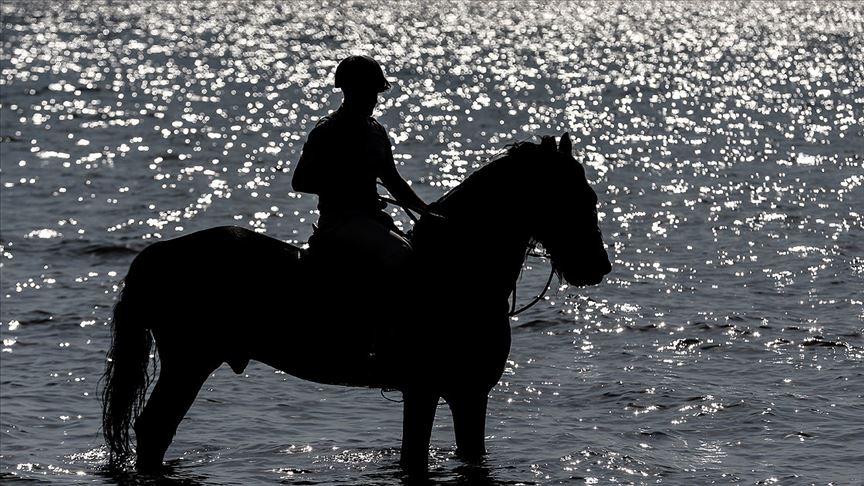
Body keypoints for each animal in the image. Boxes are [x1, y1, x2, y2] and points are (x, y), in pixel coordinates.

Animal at [101, 132, 612, 470]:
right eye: (576, 197)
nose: (597, 267)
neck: (456, 270)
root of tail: (159, 253)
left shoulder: (465, 393)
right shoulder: (433, 389)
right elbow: (417, 455)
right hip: (189, 361)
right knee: (154, 429)